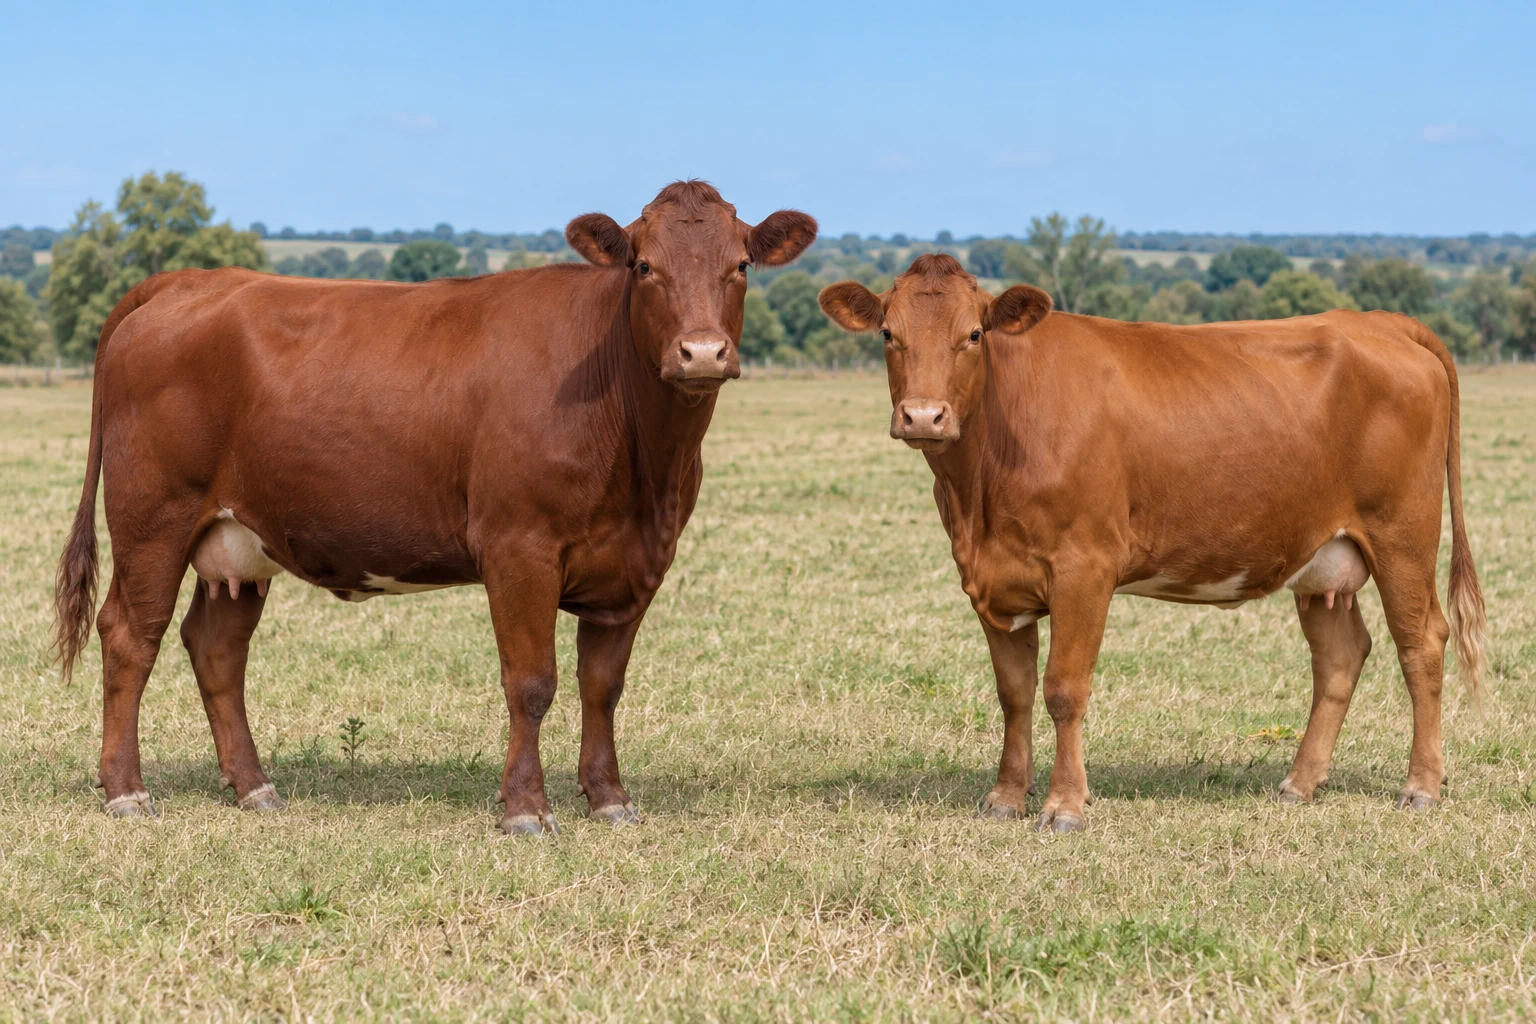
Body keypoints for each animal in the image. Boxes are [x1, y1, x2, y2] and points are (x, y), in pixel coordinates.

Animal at [53, 180, 817, 835]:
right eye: (645, 265)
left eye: (741, 264)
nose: (703, 353)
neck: (643, 461)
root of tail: (190, 280)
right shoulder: (519, 547)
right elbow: (531, 683)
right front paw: (526, 809)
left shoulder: (636, 562)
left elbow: (603, 685)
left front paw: (610, 799)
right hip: (154, 519)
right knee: (130, 635)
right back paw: (126, 791)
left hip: (238, 540)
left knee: (216, 646)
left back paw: (255, 787)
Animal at [818, 254, 1486, 832]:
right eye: (888, 333)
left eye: (975, 334)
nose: (923, 416)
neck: (978, 497)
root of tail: (1376, 321)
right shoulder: (992, 579)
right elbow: (1014, 694)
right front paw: (1006, 797)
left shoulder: (1084, 568)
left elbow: (1064, 689)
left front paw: (1065, 806)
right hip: (1322, 558)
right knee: (1342, 655)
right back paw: (1300, 784)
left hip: (1402, 534)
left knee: (1421, 643)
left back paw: (1421, 786)